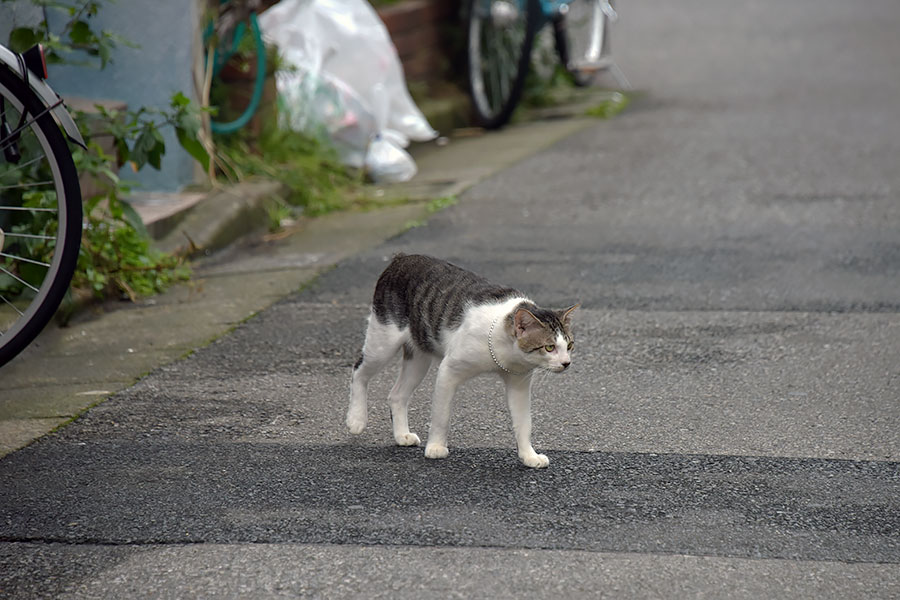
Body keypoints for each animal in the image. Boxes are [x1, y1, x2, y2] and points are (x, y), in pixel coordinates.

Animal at [344, 253, 576, 468]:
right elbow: (441, 415)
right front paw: (436, 447)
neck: (505, 352)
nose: (566, 363)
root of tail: (401, 257)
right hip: (383, 342)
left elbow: (524, 422)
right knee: (358, 371)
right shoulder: (449, 370)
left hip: (418, 359)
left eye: (570, 345)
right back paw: (356, 419)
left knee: (396, 395)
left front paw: (529, 456)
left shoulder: (519, 383)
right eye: (549, 347)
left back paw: (402, 435)